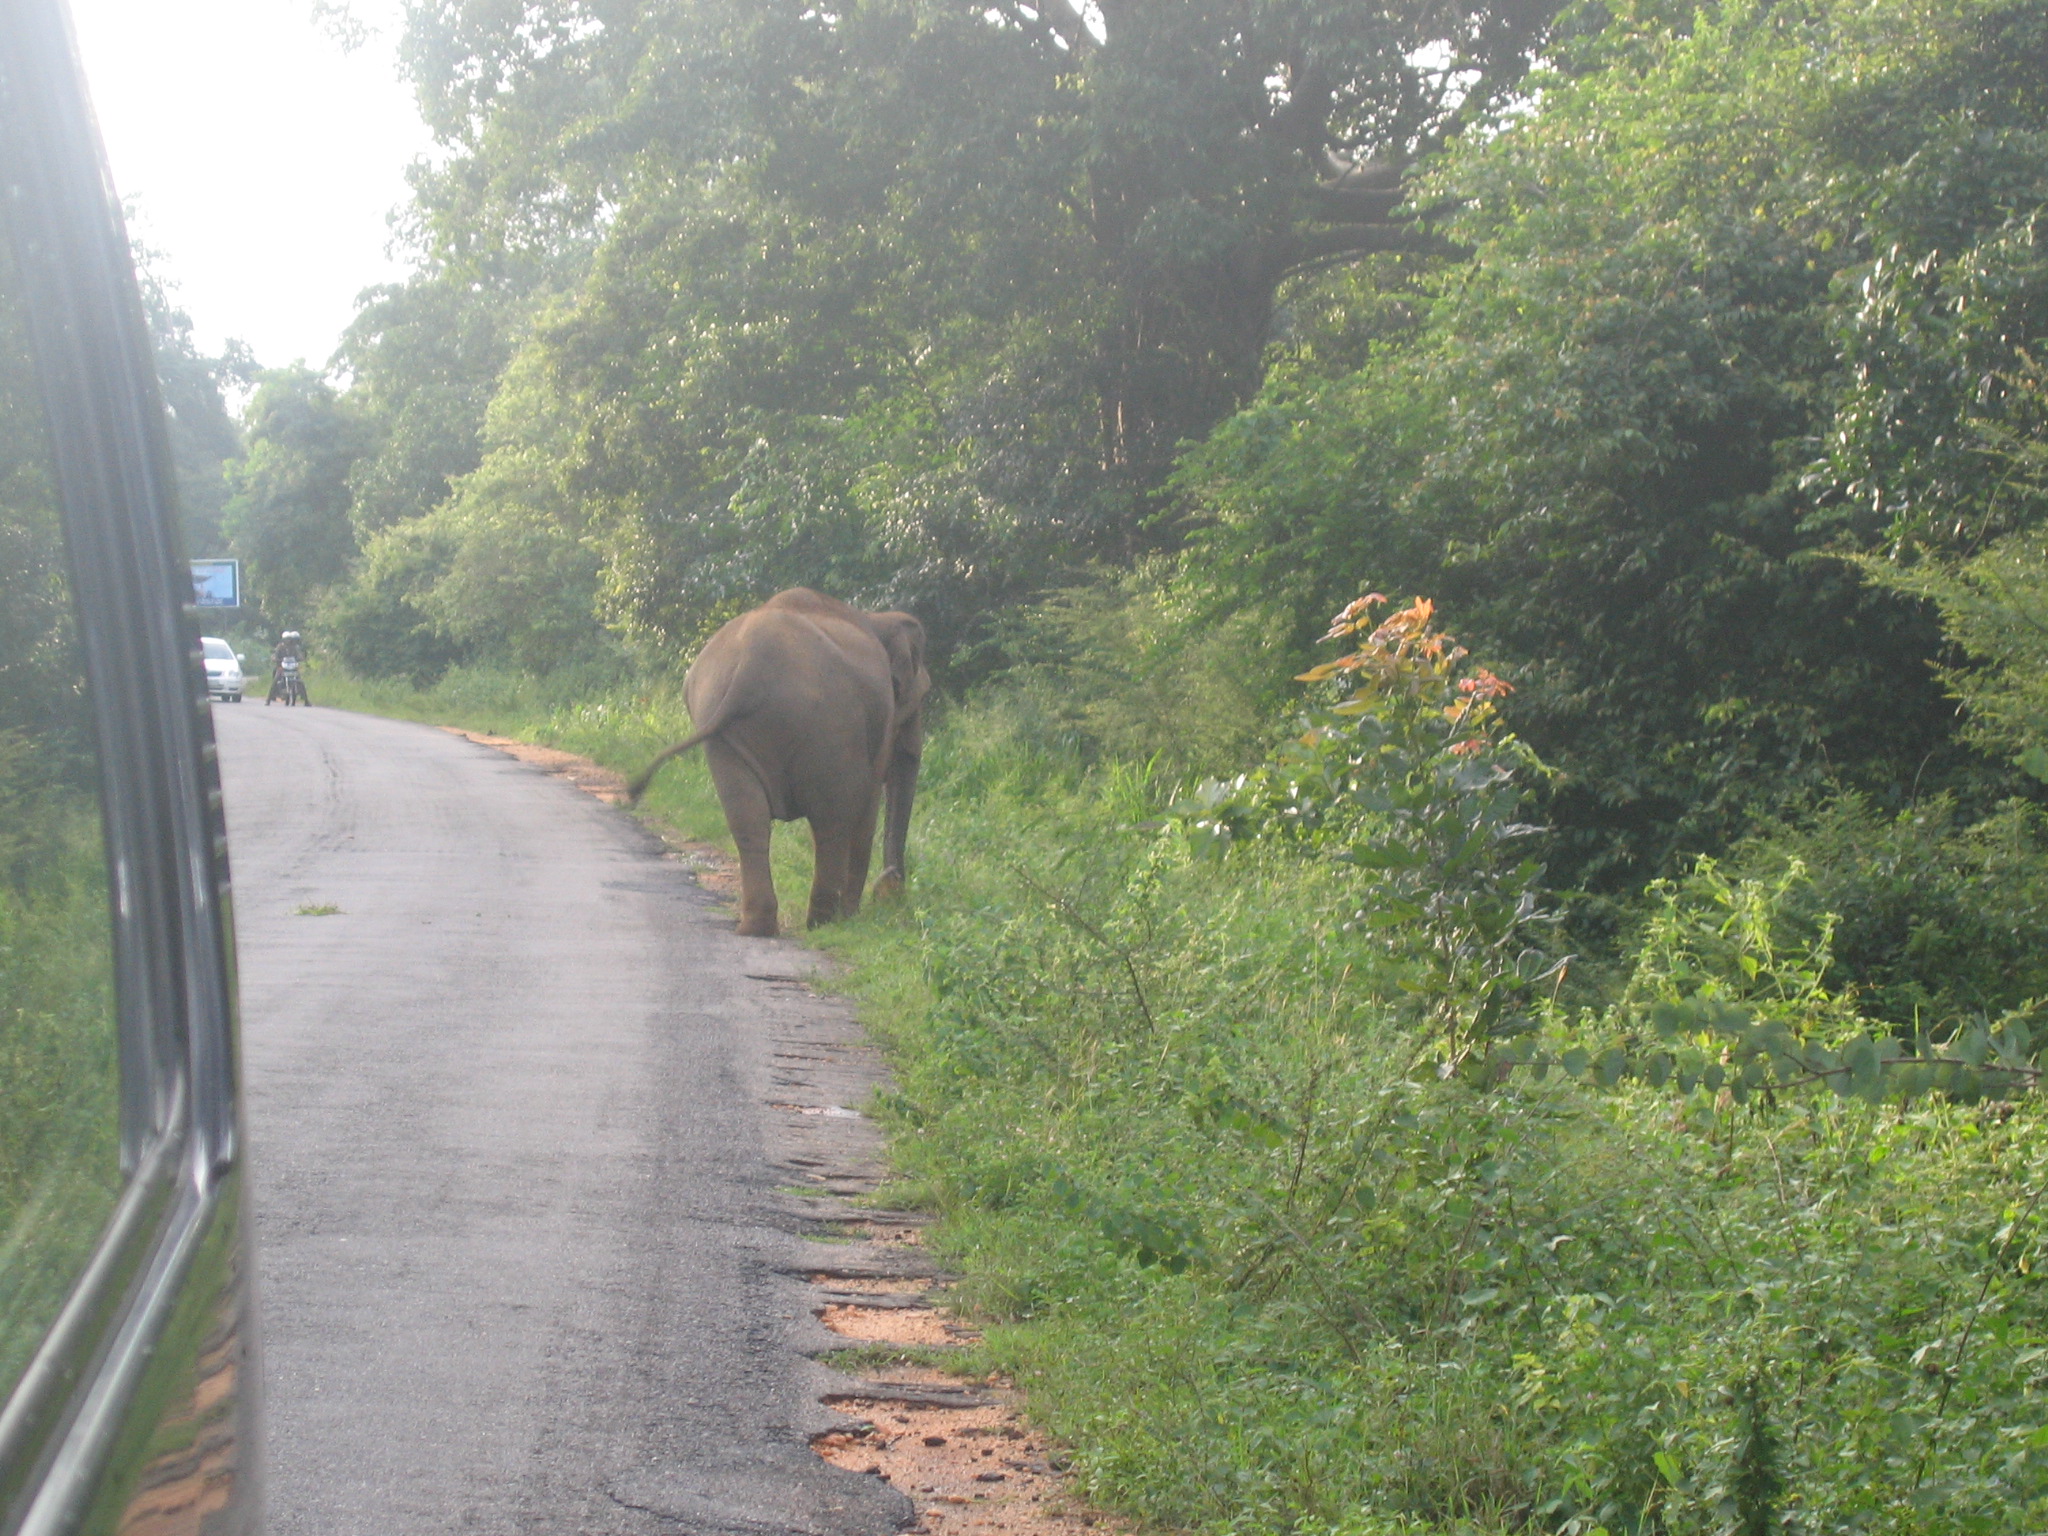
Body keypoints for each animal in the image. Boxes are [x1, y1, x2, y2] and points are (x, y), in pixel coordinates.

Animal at [622, 593, 929, 937]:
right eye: (921, 697)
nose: (890, 889)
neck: (876, 618)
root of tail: (750, 669)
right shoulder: (882, 718)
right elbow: (868, 806)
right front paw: (851, 917)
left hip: (723, 728)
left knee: (748, 819)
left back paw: (758, 926)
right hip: (830, 723)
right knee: (832, 821)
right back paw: (824, 923)